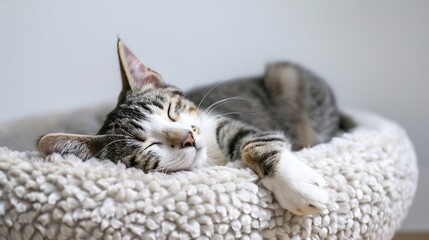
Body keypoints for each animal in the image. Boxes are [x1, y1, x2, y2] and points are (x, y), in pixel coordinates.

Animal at [37, 39, 342, 216]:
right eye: (149, 145)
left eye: (171, 112)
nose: (187, 137)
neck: (211, 159)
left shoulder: (222, 122)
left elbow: (254, 142)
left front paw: (297, 186)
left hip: (286, 74)